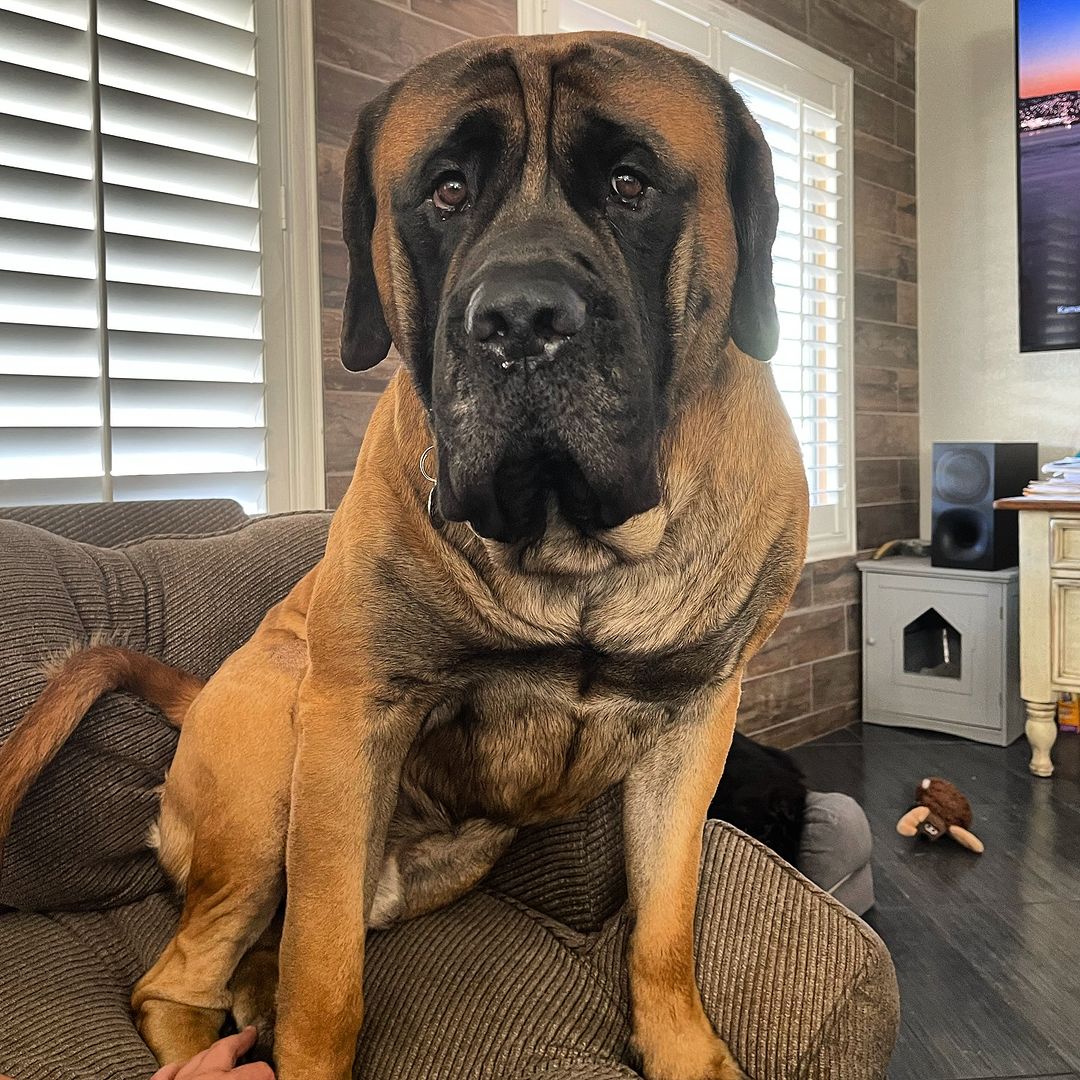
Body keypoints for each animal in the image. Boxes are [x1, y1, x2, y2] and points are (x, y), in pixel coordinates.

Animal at [0, 29, 812, 1080]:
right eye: (446, 189)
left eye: (631, 183)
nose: (519, 319)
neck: (571, 556)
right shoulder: (354, 722)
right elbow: (326, 985)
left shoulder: (693, 725)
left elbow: (664, 927)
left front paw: (682, 1047)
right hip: (270, 785)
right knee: (177, 982)